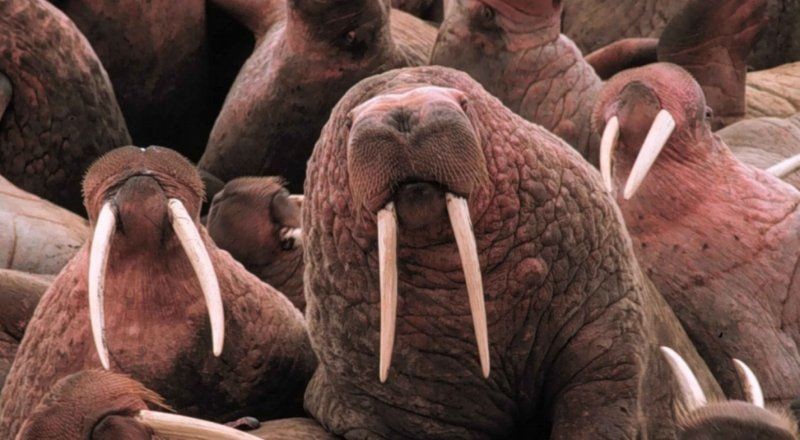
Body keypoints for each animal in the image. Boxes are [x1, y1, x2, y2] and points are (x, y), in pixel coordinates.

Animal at [299, 65, 721, 438]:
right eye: (349, 122)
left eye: (464, 102)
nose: (403, 114)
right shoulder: (404, 406)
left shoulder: (607, 323)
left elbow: (601, 402)